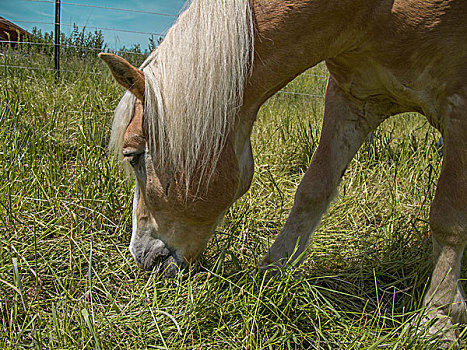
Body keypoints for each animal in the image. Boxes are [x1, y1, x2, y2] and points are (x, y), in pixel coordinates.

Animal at [98, 0, 467, 344]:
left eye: (133, 156)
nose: (142, 258)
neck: (372, 13)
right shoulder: (351, 99)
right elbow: (312, 190)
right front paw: (273, 272)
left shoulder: (458, 109)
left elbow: (448, 219)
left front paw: (438, 318)